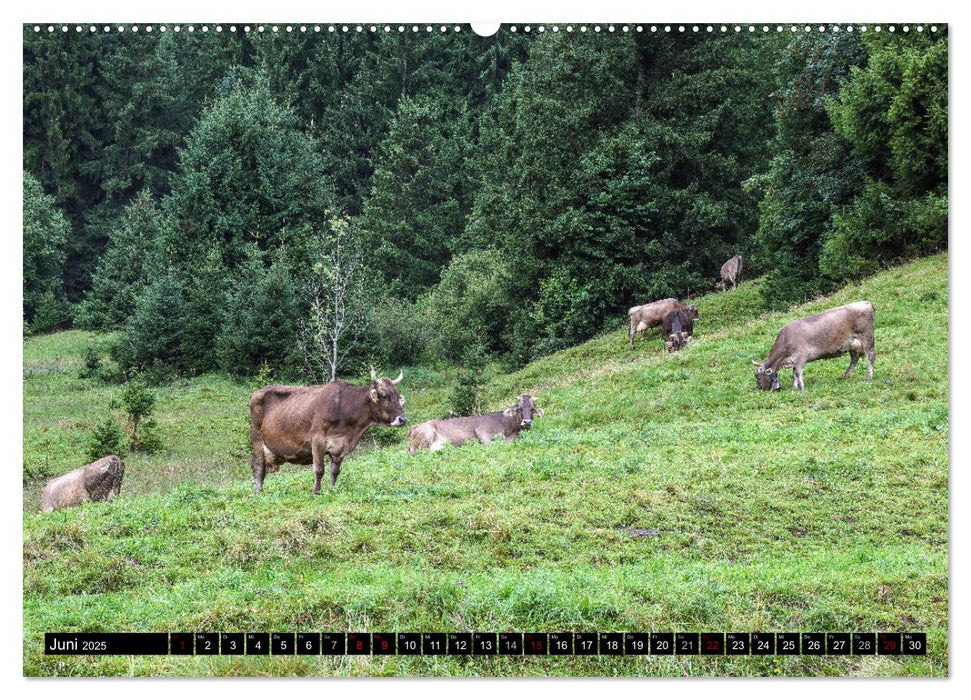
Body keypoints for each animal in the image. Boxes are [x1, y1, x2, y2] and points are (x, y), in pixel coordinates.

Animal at [251, 366, 406, 492]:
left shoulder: (340, 446)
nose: (403, 419)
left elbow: (335, 471)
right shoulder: (317, 439)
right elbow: (319, 469)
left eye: (398, 396)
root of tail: (259, 391)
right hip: (257, 438)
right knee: (258, 466)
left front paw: (331, 489)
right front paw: (316, 491)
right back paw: (258, 492)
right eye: (384, 396)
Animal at [404, 394, 548, 454]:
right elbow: (494, 443)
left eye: (532, 409)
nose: (527, 421)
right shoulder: (482, 431)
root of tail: (413, 428)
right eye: (519, 409)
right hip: (426, 434)